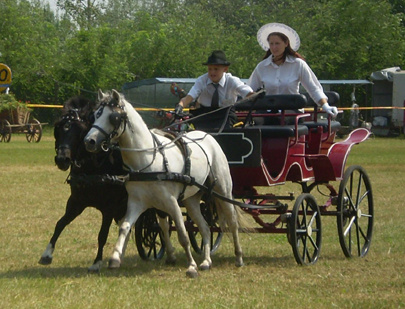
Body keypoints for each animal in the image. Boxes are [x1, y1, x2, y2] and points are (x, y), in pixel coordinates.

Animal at [38, 96, 128, 272]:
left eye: (79, 131)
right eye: (58, 129)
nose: (62, 159)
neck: (94, 167)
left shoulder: (110, 207)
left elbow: (102, 235)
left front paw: (97, 262)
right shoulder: (76, 202)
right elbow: (60, 223)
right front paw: (47, 254)